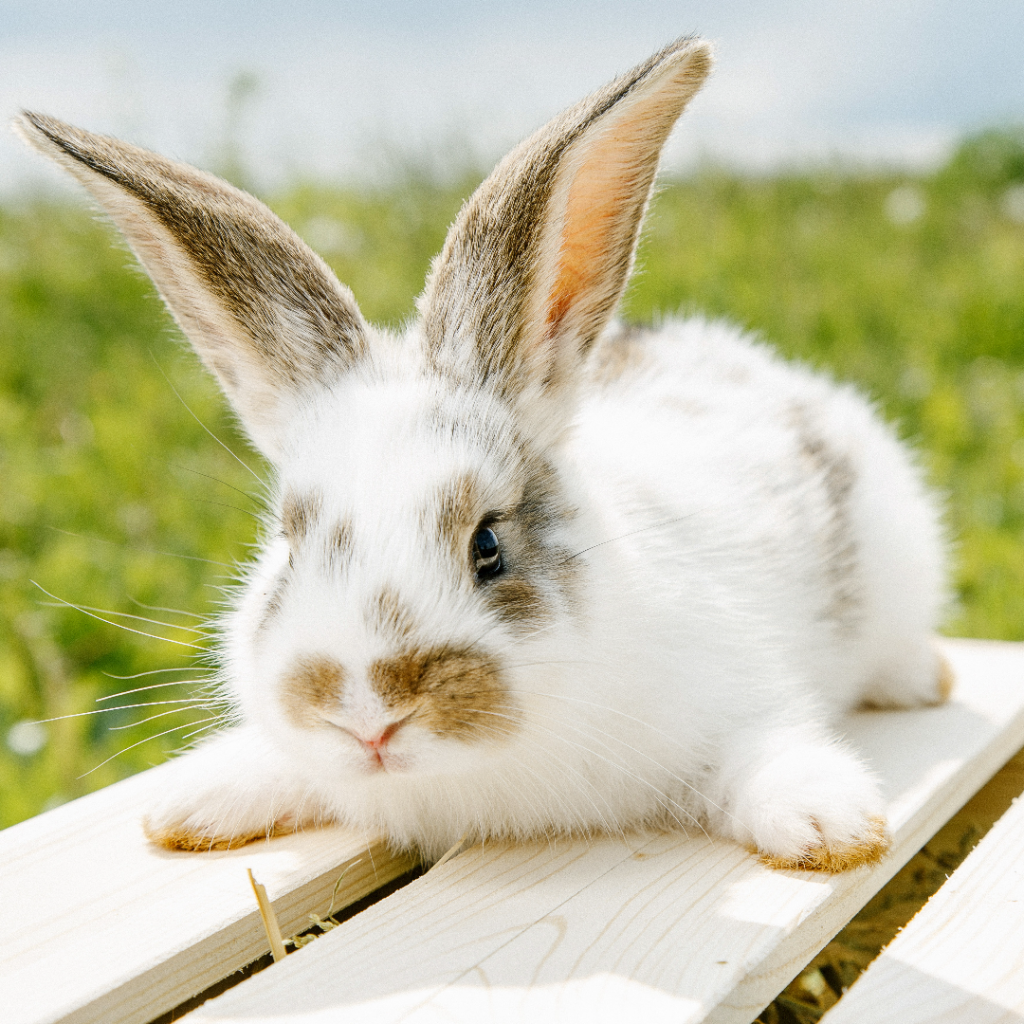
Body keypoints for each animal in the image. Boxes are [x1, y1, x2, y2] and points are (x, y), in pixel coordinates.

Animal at [15, 36, 950, 871]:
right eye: (290, 546)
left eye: (489, 545)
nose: (368, 718)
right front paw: (191, 807)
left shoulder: (741, 694)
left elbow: (771, 747)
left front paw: (831, 827)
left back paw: (923, 680)